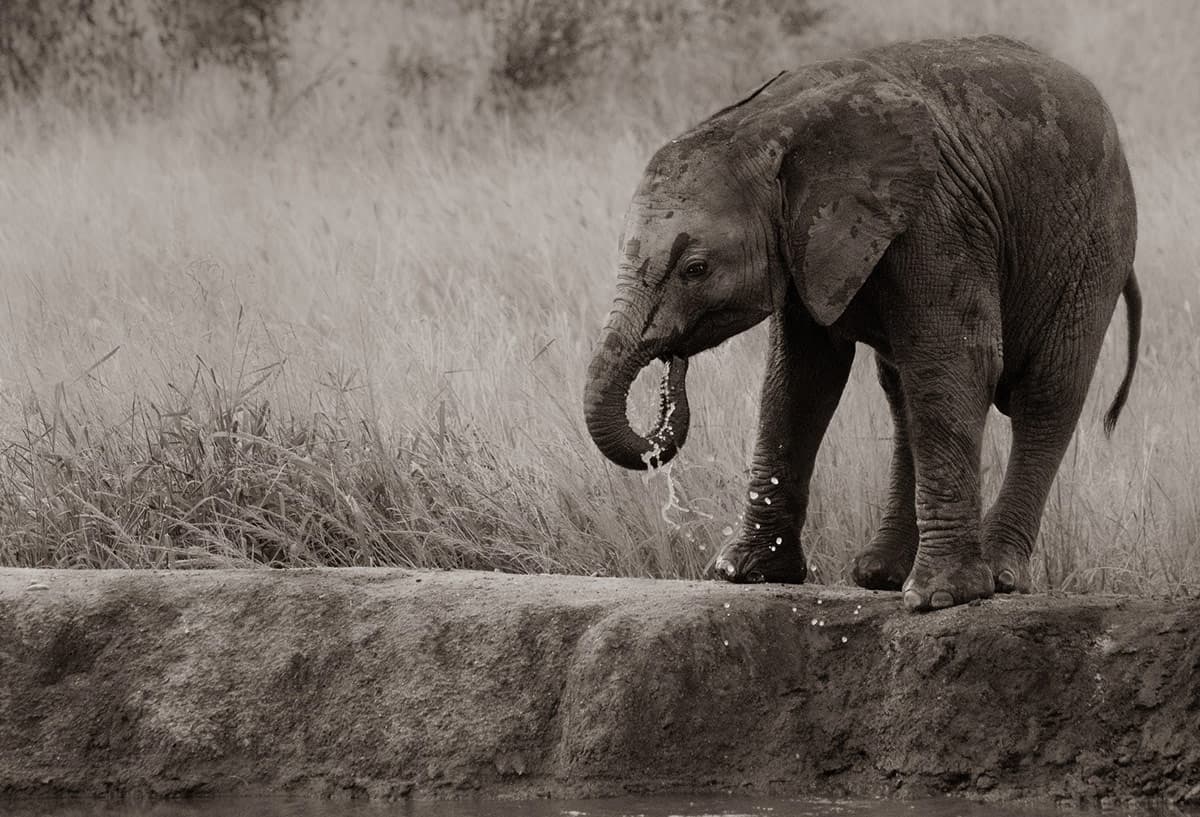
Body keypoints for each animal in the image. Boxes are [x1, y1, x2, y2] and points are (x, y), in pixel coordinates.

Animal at [582, 36, 1141, 611]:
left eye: (696, 269)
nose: (673, 366)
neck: (763, 124)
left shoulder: (938, 217)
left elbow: (960, 360)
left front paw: (941, 598)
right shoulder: (811, 243)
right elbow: (800, 380)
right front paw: (742, 573)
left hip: (1094, 245)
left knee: (1045, 392)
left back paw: (1000, 575)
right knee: (904, 390)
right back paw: (879, 574)